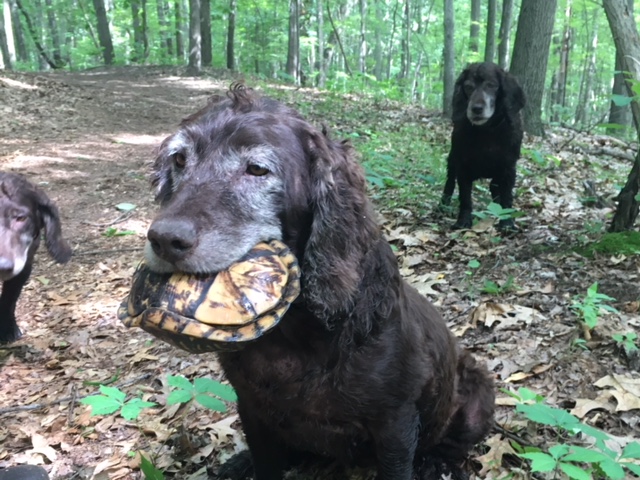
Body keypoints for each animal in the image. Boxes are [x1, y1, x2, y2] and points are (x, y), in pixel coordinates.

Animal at [146, 87, 496, 480]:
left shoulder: (395, 423)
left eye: (257, 169)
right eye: (179, 159)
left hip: (478, 397)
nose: (164, 239)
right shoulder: (252, 408)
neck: (295, 333)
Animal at [440, 62, 524, 231]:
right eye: (468, 86)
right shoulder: (463, 167)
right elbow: (465, 197)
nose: (476, 109)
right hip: (452, 159)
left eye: (491, 85)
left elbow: (507, 197)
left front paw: (506, 223)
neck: (487, 131)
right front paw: (463, 221)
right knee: (450, 181)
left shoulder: (508, 168)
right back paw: (443, 204)